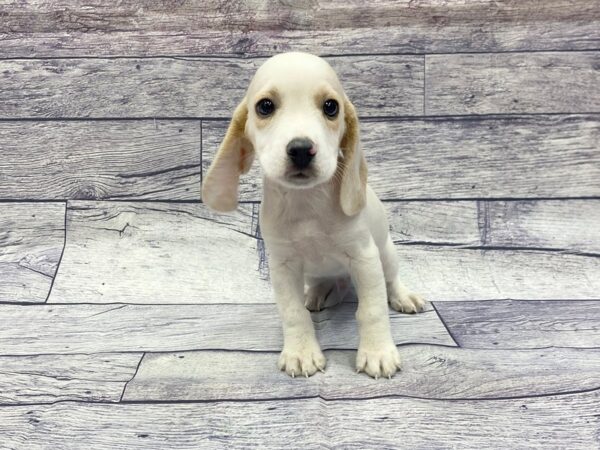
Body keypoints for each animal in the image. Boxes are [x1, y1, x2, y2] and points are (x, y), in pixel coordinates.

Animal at [204, 51, 424, 380]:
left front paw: (377, 352)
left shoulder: (365, 257)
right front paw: (301, 352)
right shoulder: (282, 266)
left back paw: (402, 296)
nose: (300, 149)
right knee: (330, 282)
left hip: (385, 253)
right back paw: (320, 292)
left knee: (391, 279)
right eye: (265, 106)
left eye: (330, 107)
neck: (306, 202)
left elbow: (371, 310)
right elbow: (293, 313)